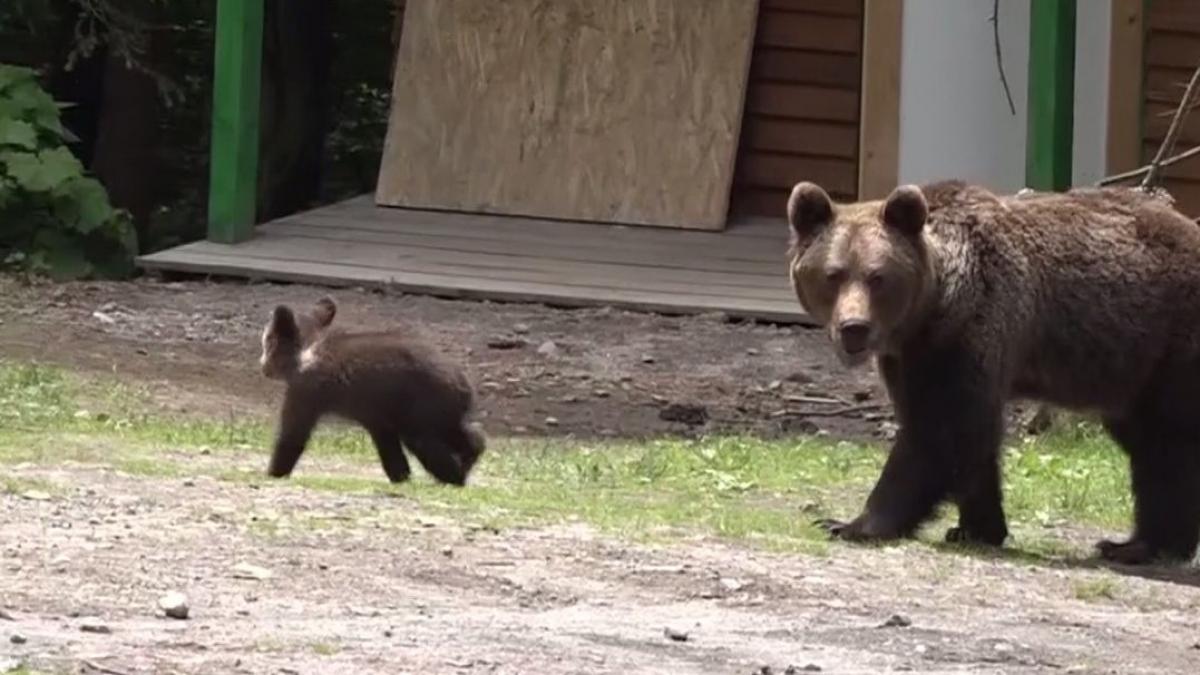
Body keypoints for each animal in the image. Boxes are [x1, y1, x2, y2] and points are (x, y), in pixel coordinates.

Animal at [260, 296, 484, 480]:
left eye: (267, 342)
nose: (263, 366)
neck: (306, 355)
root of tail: (465, 383)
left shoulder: (307, 389)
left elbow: (293, 433)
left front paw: (275, 471)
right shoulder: (375, 413)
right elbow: (388, 445)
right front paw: (401, 475)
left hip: (425, 402)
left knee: (424, 439)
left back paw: (454, 476)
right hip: (438, 407)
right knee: (457, 432)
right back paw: (470, 454)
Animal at [787, 177, 1200, 562]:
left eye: (877, 276)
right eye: (833, 275)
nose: (853, 327)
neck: (930, 308)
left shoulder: (968, 330)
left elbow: (940, 430)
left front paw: (850, 523)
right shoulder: (909, 356)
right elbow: (968, 441)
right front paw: (976, 527)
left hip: (1169, 341)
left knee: (1168, 438)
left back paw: (1148, 545)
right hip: (1132, 368)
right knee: (1149, 444)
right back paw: (1136, 543)